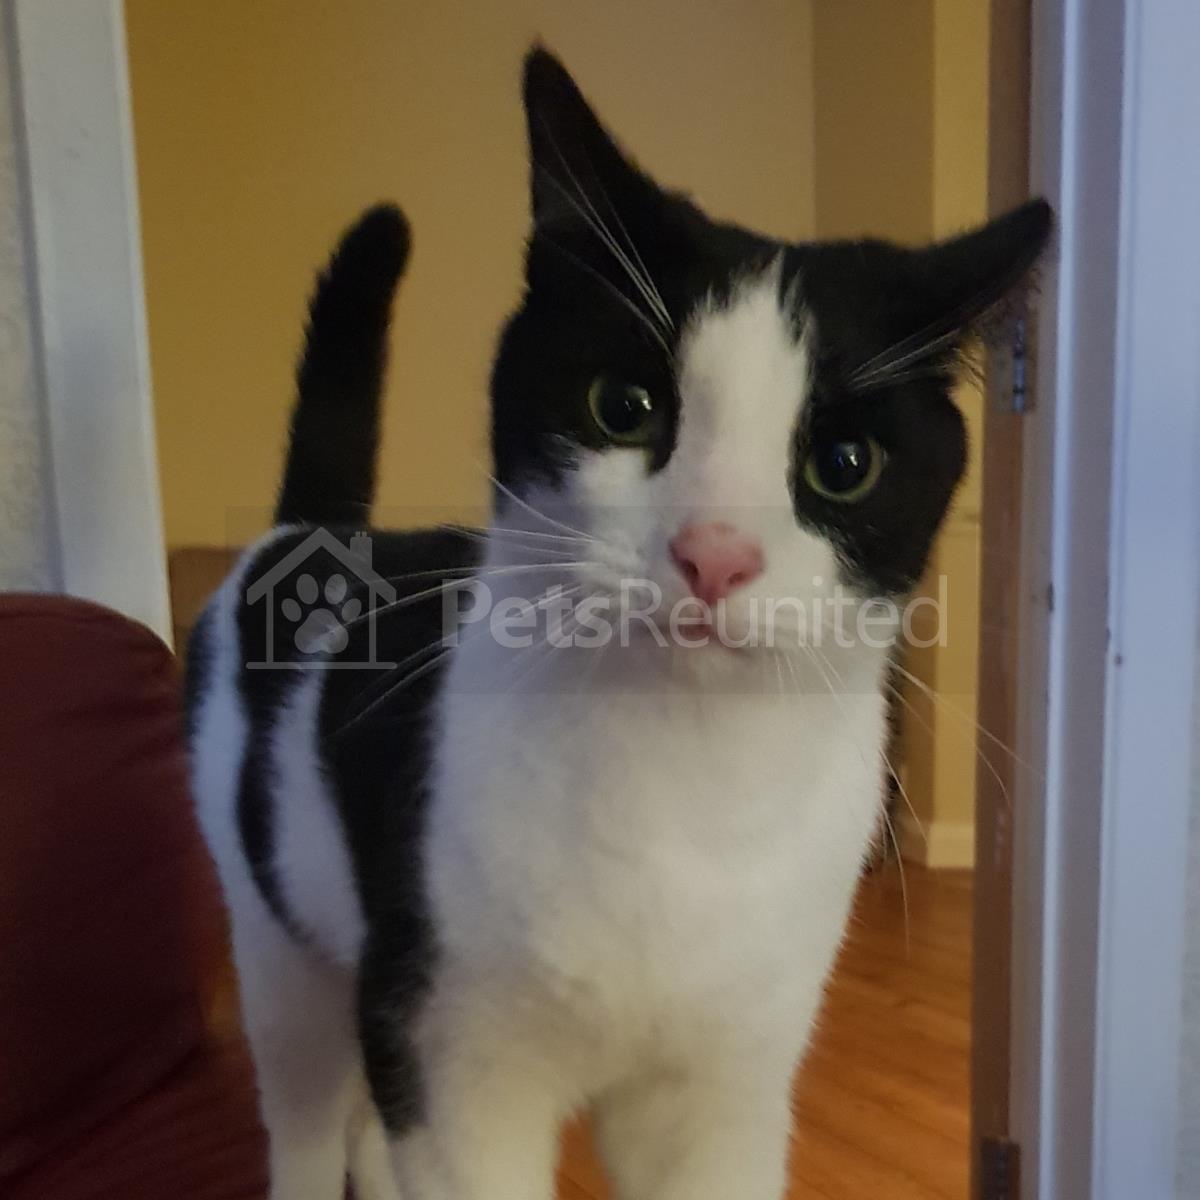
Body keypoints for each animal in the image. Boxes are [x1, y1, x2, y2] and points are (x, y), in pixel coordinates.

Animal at [187, 47, 1050, 1200]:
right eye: (624, 408)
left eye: (844, 465)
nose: (715, 553)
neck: (685, 784)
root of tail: (315, 533)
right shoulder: (455, 1063)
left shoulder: (725, 1087)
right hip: (288, 951)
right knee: (310, 1112)